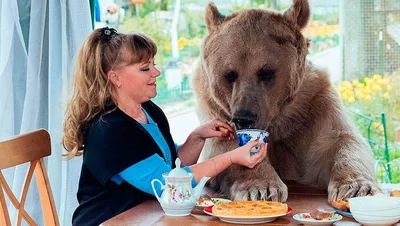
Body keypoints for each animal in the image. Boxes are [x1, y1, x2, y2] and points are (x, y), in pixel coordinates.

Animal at [192, 0, 380, 202]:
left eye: (266, 72)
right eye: (229, 74)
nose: (244, 118)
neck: (278, 118)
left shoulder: (314, 103)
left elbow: (341, 140)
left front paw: (356, 187)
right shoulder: (215, 107)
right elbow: (224, 147)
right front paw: (260, 188)